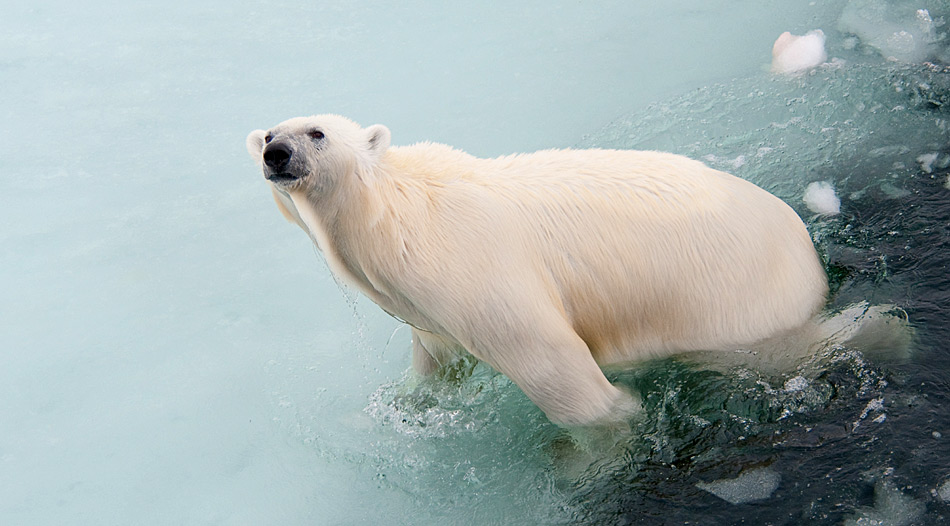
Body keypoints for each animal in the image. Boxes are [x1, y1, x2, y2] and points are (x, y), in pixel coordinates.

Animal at [245, 115, 832, 428]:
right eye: (270, 133)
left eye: (317, 132)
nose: (276, 153)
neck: (397, 219)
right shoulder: (429, 312)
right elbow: (438, 360)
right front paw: (408, 404)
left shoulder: (480, 271)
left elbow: (559, 371)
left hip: (731, 301)